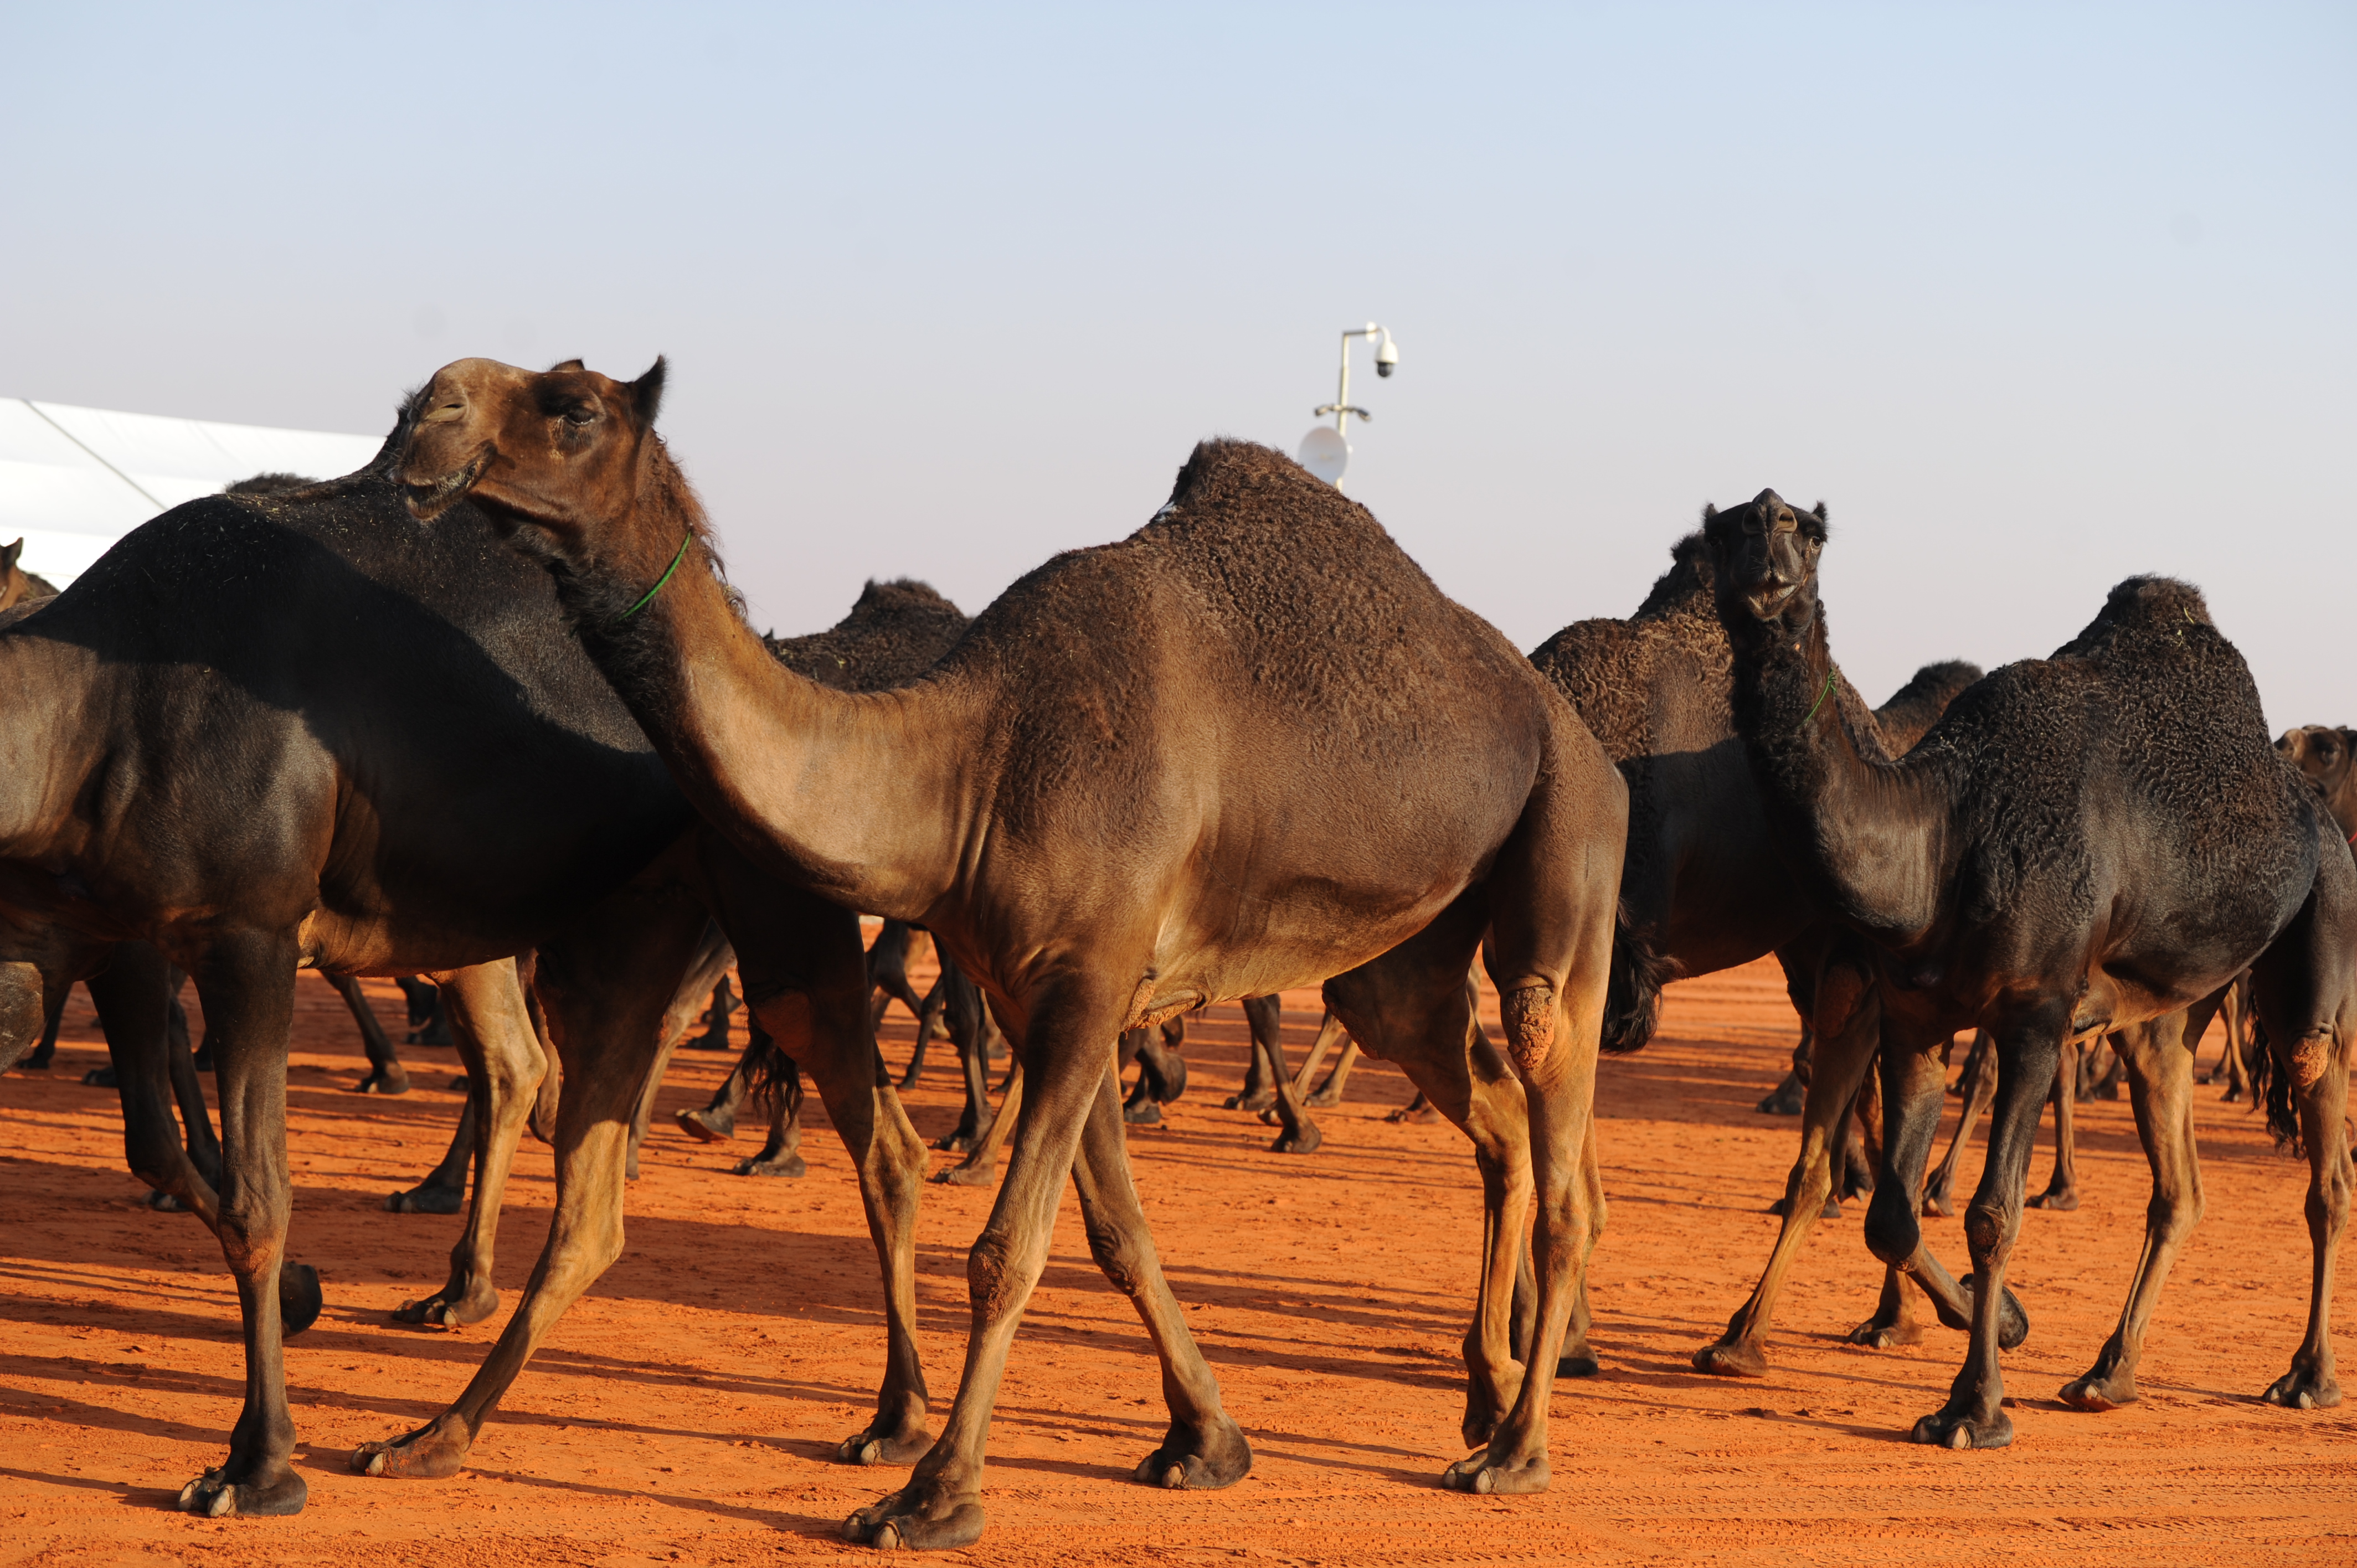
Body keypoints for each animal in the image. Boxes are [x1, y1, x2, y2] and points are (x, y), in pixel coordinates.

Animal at [0, 441, 928, 1518]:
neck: (86, 706)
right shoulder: (112, 930)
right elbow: (157, 1148)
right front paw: (304, 1298)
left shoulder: (249, 930)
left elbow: (257, 1195)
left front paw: (258, 1464)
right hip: (614, 927)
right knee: (577, 1173)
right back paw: (438, 1418)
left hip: (771, 899)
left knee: (874, 1137)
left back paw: (898, 1423)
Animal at [400, 360, 1640, 1546]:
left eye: (572, 407)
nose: (427, 411)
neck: (972, 760)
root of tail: (1569, 725)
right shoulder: (1046, 986)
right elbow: (1113, 1234)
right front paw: (1206, 1440)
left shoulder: (1090, 977)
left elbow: (1007, 1250)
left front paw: (932, 1496)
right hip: (1402, 958)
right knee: (1484, 1105)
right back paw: (1482, 1393)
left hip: (1570, 838)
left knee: (1555, 1110)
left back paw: (1516, 1448)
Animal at [1517, 525, 1999, 1368]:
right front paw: (1561, 1330)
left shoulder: (1618, 962)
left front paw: (1567, 1334)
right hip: (1811, 951)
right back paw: (1888, 1315)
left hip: (1841, 956)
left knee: (1838, 1133)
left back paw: (1772, 1332)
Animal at [1706, 490, 2347, 1443]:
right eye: (1720, 533)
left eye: (1806, 533)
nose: (1765, 554)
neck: (1941, 832)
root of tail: (2318, 812)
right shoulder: (1916, 1014)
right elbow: (1891, 1214)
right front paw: (2000, 1319)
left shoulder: (2037, 1013)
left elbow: (1991, 1212)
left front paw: (1974, 1406)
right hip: (2164, 1019)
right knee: (2180, 1184)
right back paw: (2110, 1374)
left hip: (2322, 937)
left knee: (2324, 1152)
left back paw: (2308, 1376)